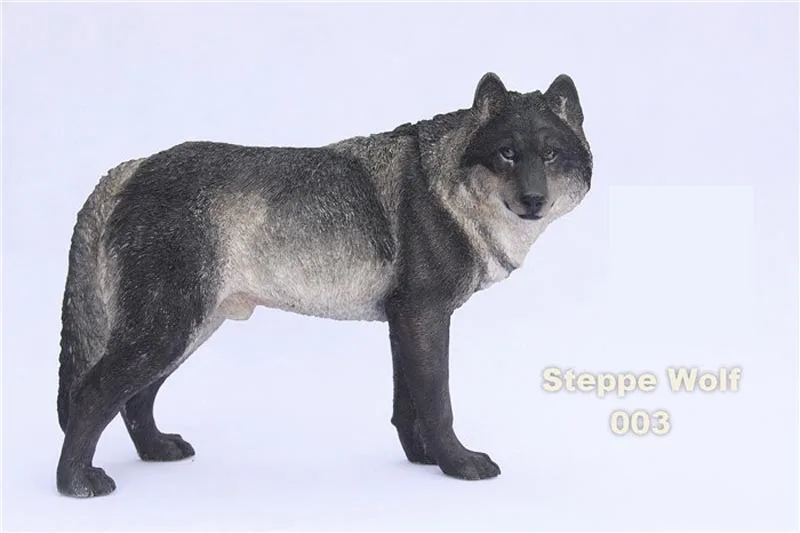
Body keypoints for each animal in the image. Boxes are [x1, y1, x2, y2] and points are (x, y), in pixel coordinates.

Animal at [56, 72, 592, 497]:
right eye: (507, 154)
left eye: (550, 155)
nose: (533, 200)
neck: (448, 191)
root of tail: (130, 168)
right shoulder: (424, 316)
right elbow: (438, 403)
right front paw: (458, 465)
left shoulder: (405, 322)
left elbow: (409, 406)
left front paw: (424, 461)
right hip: (166, 333)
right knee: (91, 394)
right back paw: (76, 483)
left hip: (185, 335)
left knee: (134, 400)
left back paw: (156, 450)